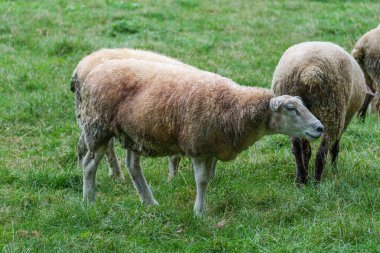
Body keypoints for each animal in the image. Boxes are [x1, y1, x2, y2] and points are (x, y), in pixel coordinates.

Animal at [80, 58, 324, 215]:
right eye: (291, 108)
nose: (319, 128)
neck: (233, 108)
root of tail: (94, 71)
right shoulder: (196, 146)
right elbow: (203, 180)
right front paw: (199, 212)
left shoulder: (213, 148)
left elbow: (210, 177)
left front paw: (200, 208)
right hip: (97, 126)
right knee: (89, 164)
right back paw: (89, 202)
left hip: (134, 133)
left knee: (133, 166)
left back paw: (149, 202)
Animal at [272, 41, 366, 184]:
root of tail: (310, 71)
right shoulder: (344, 119)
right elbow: (335, 147)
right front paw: (334, 169)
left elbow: (306, 149)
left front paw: (306, 168)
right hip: (334, 112)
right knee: (323, 151)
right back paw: (317, 182)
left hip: (293, 115)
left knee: (296, 148)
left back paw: (301, 179)